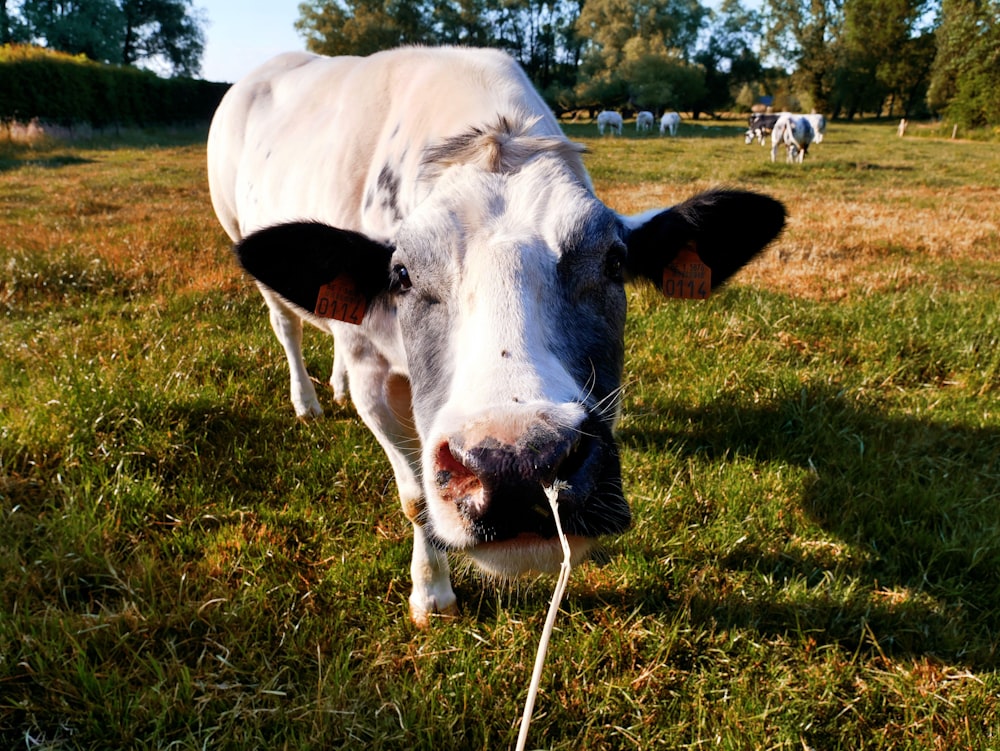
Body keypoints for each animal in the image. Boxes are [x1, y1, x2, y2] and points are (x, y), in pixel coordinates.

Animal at [207, 44, 788, 624]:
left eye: (615, 261)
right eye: (402, 274)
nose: (518, 467)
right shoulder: (373, 371)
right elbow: (415, 498)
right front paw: (431, 591)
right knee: (286, 325)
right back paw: (306, 399)